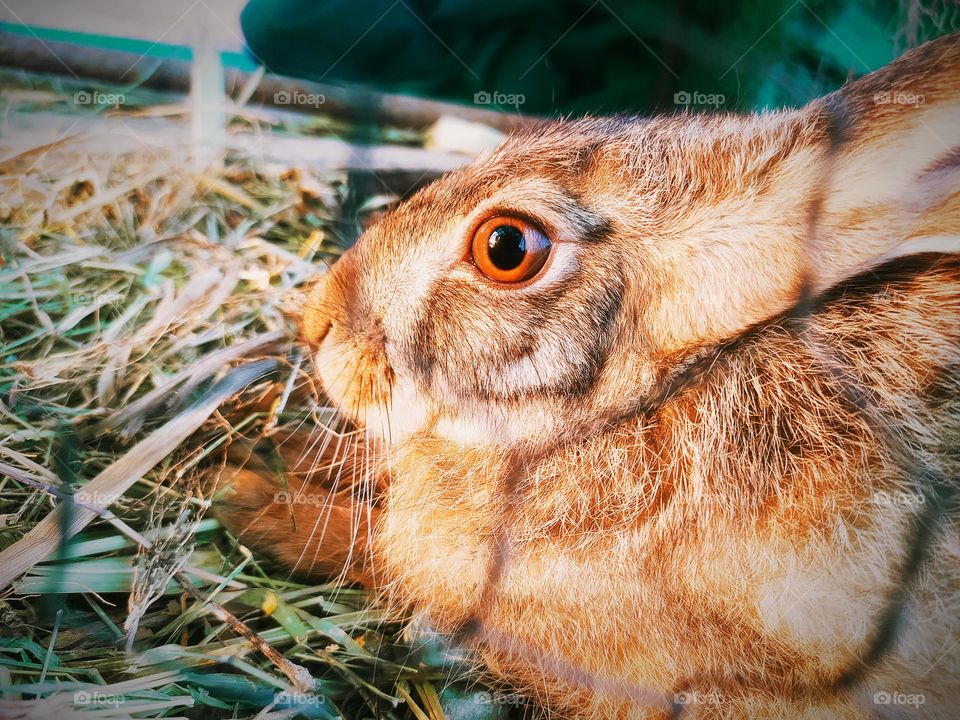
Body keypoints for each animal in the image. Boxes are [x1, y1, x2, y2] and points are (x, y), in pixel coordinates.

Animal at [221, 32, 960, 719]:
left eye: (506, 248)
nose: (318, 324)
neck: (643, 406)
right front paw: (264, 445)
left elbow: (375, 552)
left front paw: (247, 495)